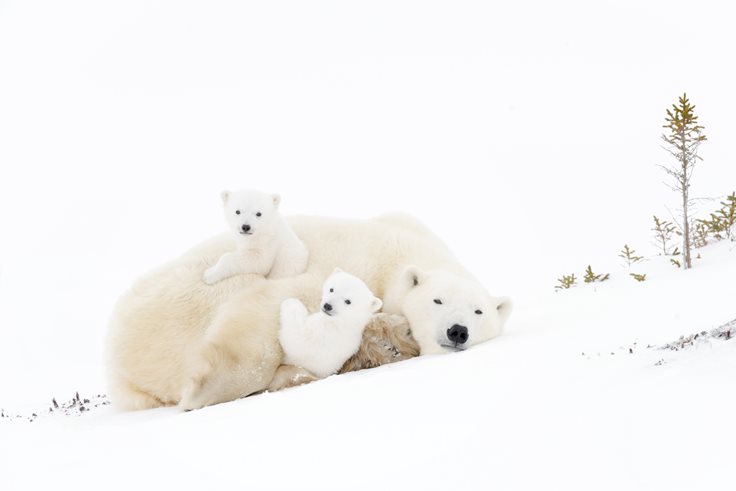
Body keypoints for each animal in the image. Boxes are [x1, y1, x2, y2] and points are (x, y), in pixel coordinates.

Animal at [105, 213, 512, 411]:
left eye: (478, 311)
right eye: (437, 301)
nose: (457, 331)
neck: (398, 252)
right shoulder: (353, 266)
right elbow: (279, 305)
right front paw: (203, 390)